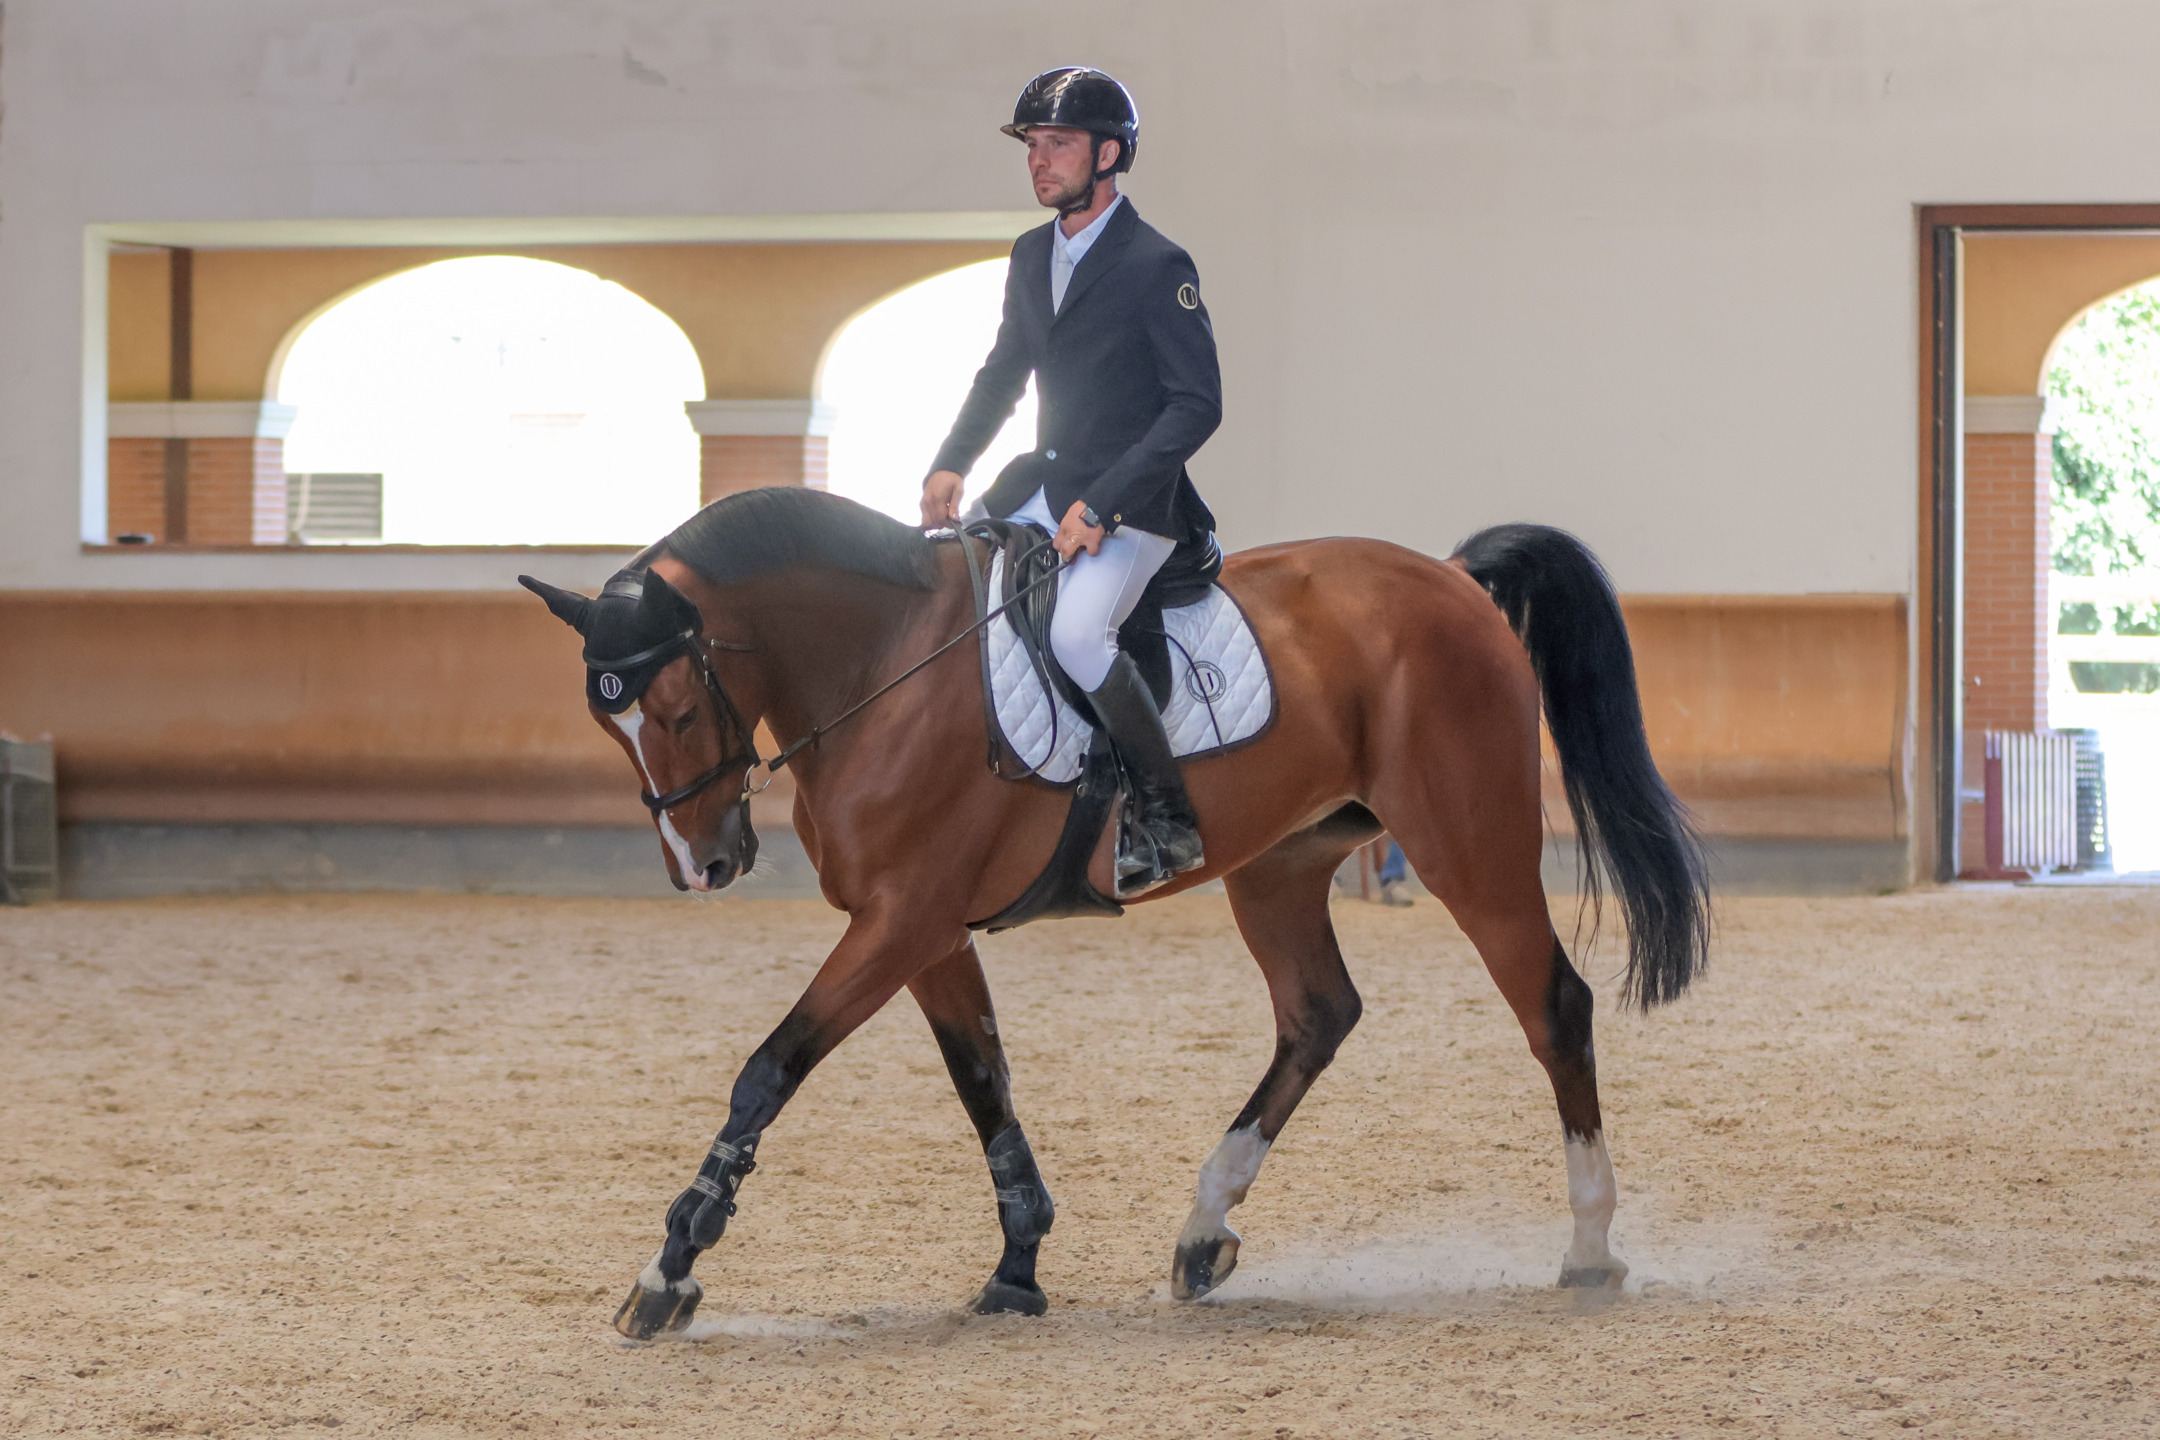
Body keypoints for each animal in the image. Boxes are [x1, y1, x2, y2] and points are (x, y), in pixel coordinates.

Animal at [522, 483, 1702, 1338]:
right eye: (610, 724)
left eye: (678, 708)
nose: (705, 863)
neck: (885, 660)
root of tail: (1452, 580)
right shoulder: (926, 932)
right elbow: (984, 1086)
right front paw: (1018, 1267)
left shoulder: (899, 922)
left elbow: (769, 1071)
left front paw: (670, 1268)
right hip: (1279, 865)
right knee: (1317, 1014)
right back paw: (1202, 1233)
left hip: (1468, 844)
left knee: (1554, 1007)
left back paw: (1589, 1249)